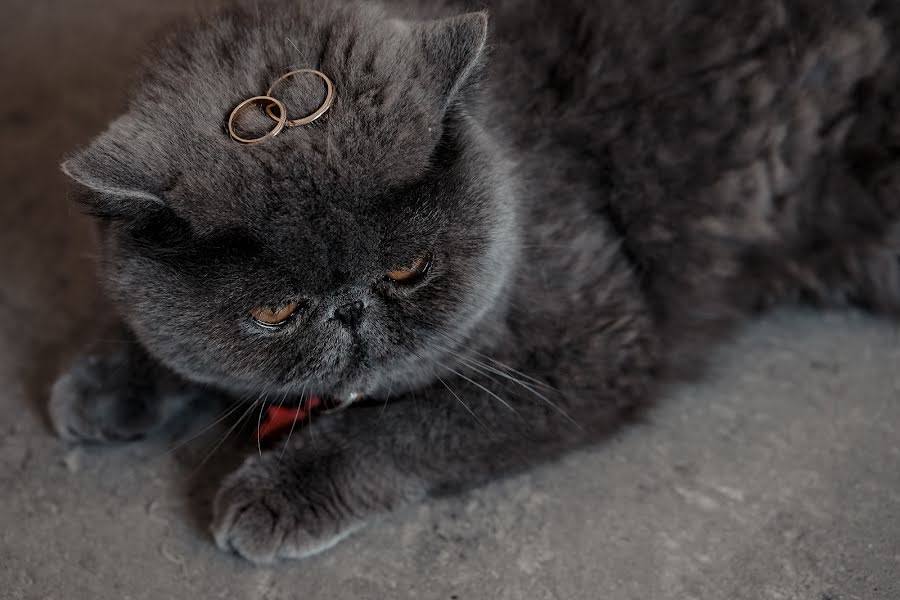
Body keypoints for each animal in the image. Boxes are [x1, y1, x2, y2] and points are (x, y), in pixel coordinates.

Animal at [51, 0, 900, 564]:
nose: (350, 310)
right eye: (277, 310)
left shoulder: (590, 342)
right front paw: (107, 379)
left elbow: (411, 422)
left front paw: (281, 490)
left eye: (406, 270)